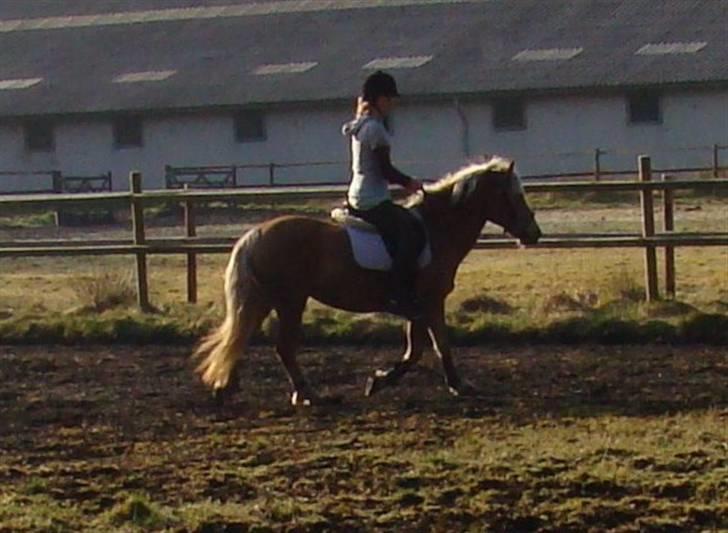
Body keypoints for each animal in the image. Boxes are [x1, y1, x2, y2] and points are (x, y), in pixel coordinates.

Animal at [193, 156, 540, 406]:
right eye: (514, 195)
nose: (534, 234)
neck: (436, 230)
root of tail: (255, 234)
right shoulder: (430, 302)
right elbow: (437, 345)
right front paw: (456, 384)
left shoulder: (417, 308)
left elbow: (416, 349)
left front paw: (381, 380)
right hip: (290, 301)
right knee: (283, 347)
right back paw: (307, 394)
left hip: (268, 299)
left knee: (242, 336)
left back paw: (226, 387)